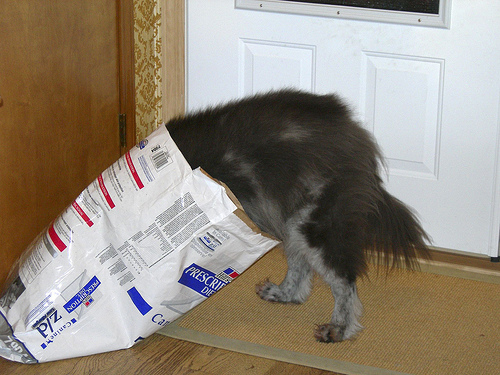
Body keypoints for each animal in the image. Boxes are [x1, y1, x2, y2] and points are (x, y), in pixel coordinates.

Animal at [165, 90, 430, 344]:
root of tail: (352, 130)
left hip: (314, 225)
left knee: (344, 282)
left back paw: (339, 329)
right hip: (292, 222)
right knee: (301, 272)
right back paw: (283, 294)